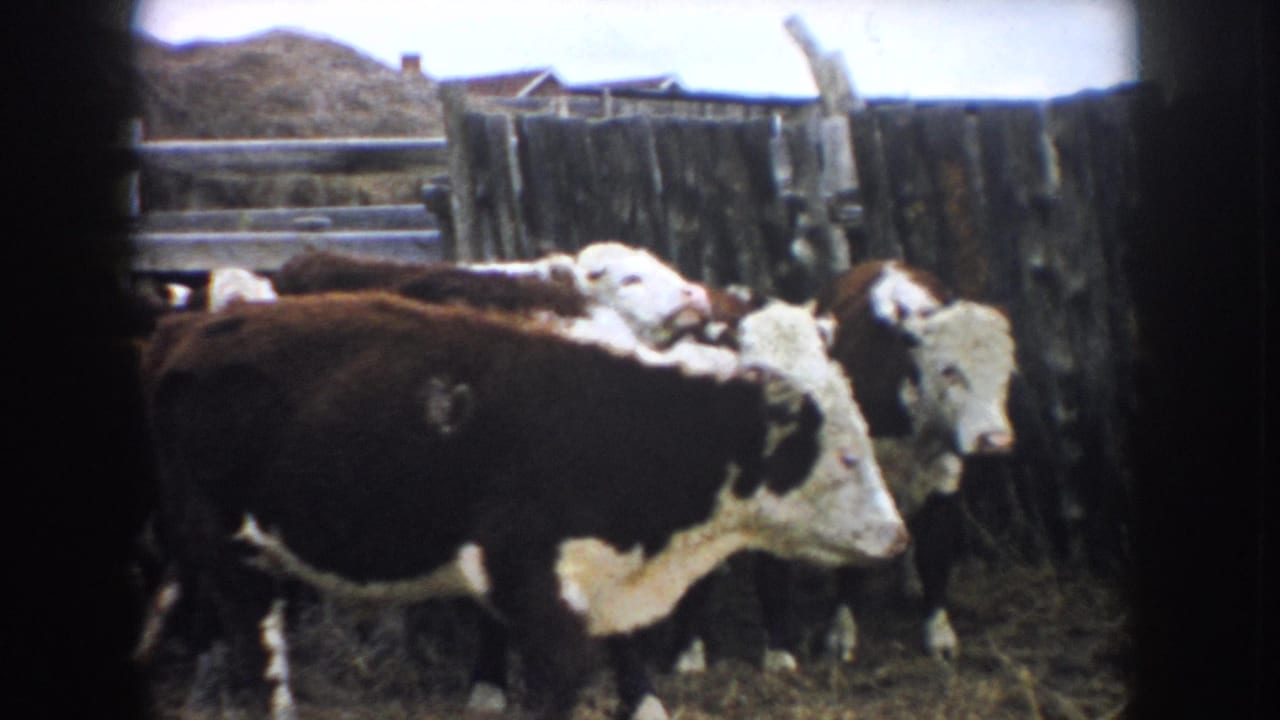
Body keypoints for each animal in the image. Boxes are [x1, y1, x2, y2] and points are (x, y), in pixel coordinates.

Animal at [142, 292, 907, 720]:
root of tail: (191, 329)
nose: (898, 537)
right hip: (230, 551)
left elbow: (638, 682)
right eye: (846, 457)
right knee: (261, 653)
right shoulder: (533, 587)